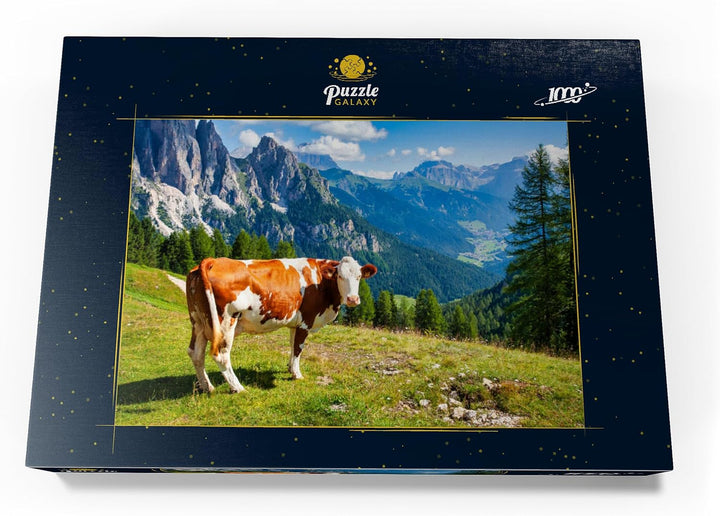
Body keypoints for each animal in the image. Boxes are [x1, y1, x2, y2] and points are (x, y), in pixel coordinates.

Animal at [185, 256, 377, 393]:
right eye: (340, 276)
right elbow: (299, 348)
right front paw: (297, 375)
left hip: (199, 322)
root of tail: (213, 261)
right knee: (221, 355)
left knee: (196, 353)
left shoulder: (295, 323)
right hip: (225, 320)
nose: (353, 299)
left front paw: (290, 368)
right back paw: (237, 387)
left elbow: (292, 346)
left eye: (359, 277)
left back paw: (207, 386)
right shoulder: (306, 322)